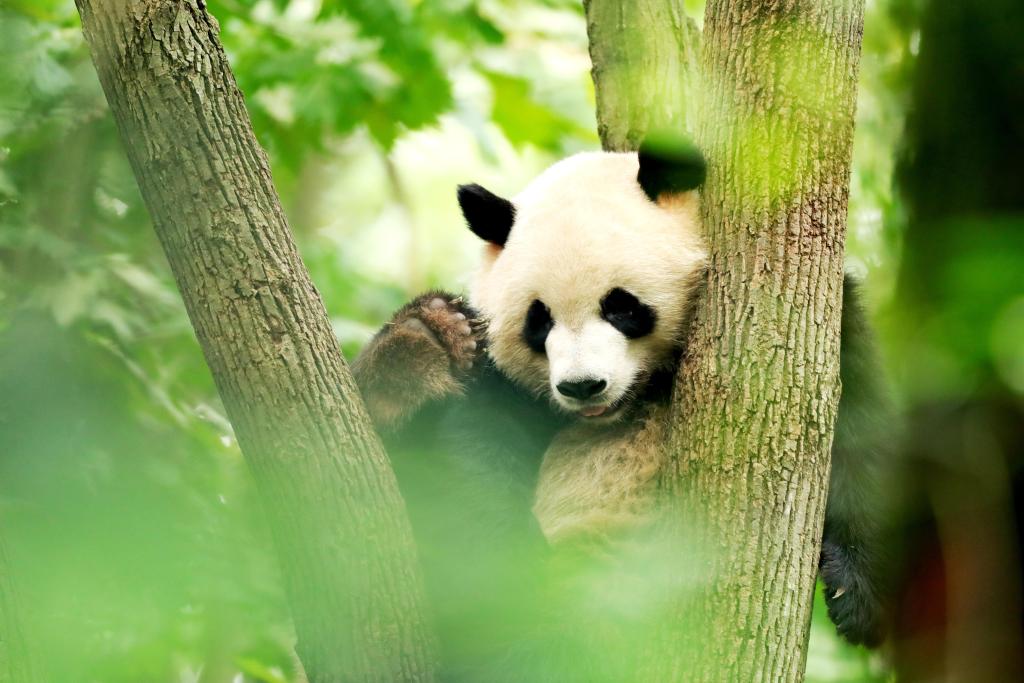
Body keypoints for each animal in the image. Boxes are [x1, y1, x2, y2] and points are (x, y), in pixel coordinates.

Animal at [354, 141, 897, 679]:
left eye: (621, 306)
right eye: (539, 319)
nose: (582, 386)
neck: (640, 397)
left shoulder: (822, 326)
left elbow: (859, 434)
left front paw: (857, 594)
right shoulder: (506, 389)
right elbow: (474, 477)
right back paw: (417, 348)